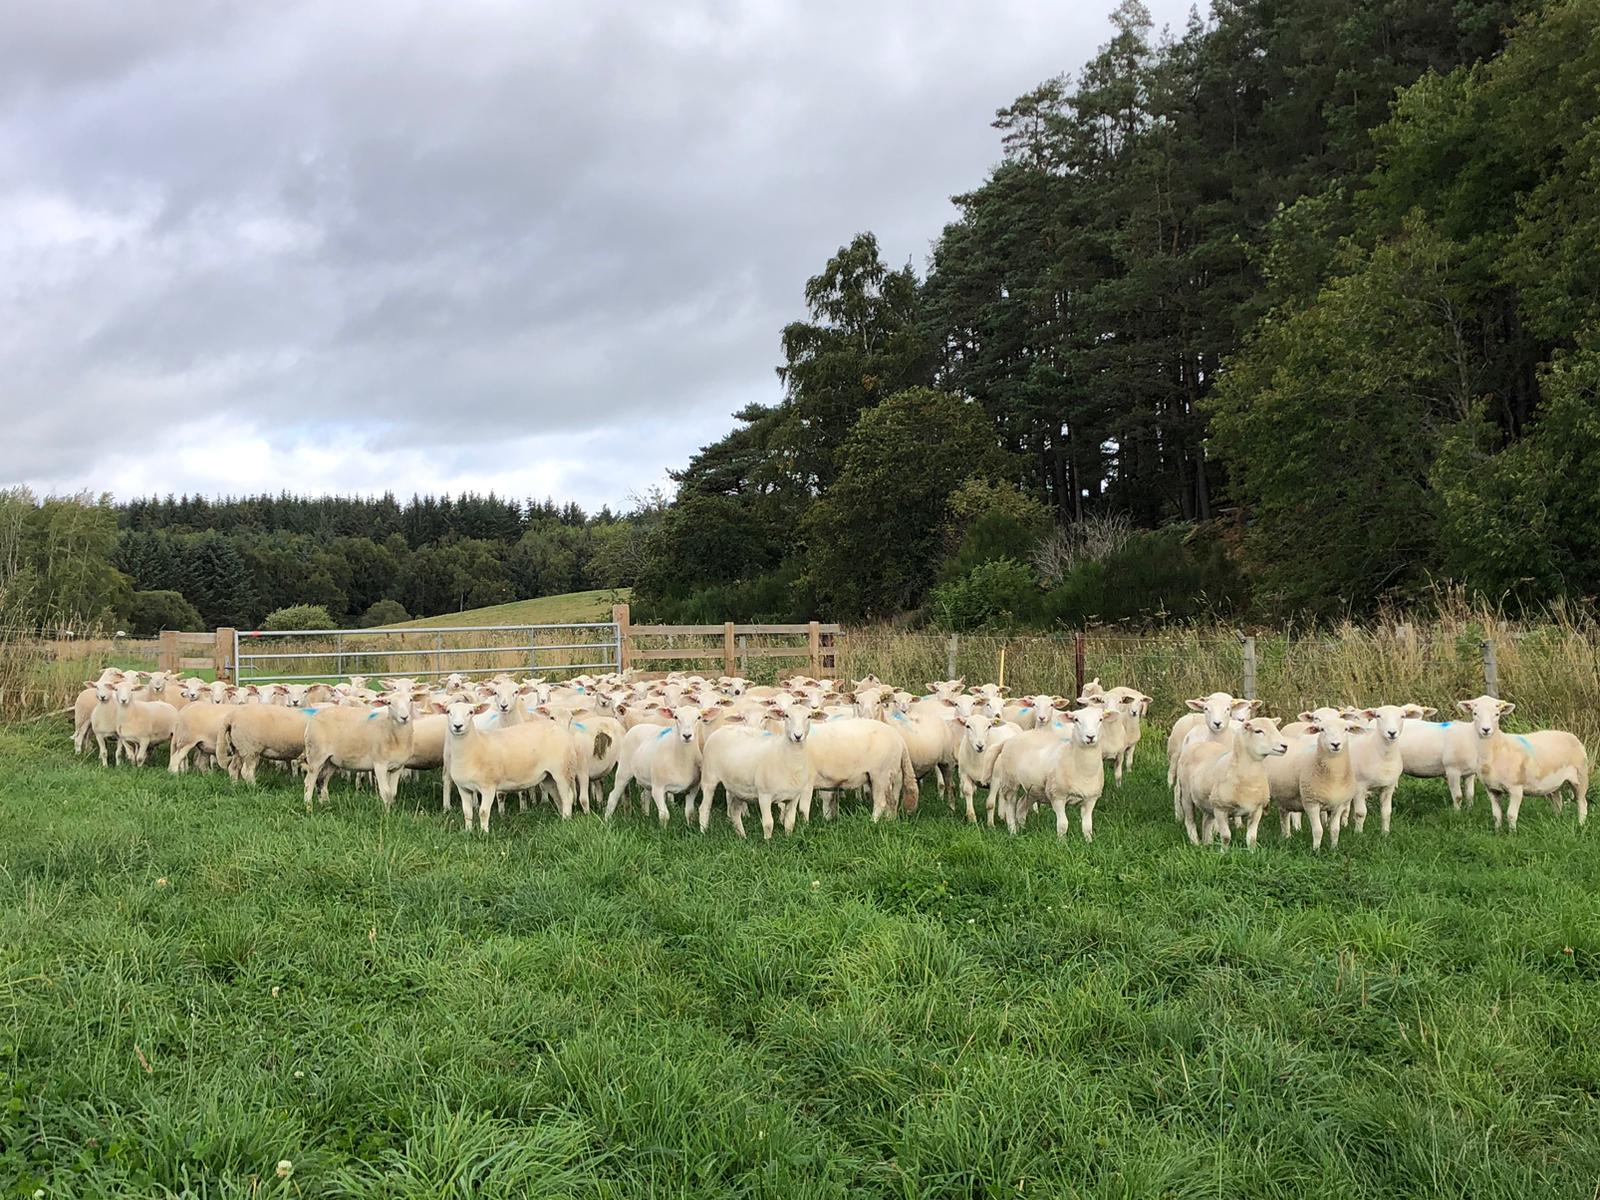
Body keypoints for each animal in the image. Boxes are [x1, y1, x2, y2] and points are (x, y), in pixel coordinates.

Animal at [698, 705, 817, 839]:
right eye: (786, 715)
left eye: (809, 716)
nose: (797, 736)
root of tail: (721, 729)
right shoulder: (764, 795)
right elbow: (768, 823)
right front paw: (767, 841)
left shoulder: (794, 797)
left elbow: (790, 822)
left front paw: (788, 838)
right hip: (709, 778)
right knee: (704, 808)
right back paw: (703, 833)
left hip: (737, 786)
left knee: (735, 811)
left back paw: (742, 837)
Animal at [988, 703, 1107, 840]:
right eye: (1076, 720)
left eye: (1100, 719)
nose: (1090, 737)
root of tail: (1010, 739)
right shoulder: (1057, 796)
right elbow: (1063, 825)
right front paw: (1062, 842)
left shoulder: (1091, 799)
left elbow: (1088, 826)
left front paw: (1088, 841)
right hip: (1010, 780)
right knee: (1010, 804)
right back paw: (1013, 831)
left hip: (1033, 788)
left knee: (1021, 805)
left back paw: (1023, 830)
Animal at [1177, 717, 1289, 848]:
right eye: (1258, 731)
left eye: (1275, 728)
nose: (1284, 746)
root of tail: (1199, 744)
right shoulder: (1220, 809)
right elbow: (1226, 836)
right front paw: (1223, 851)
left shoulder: (1257, 810)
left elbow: (1251, 838)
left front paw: (1252, 851)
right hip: (1186, 794)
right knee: (1190, 821)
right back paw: (1195, 843)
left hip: (1207, 800)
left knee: (1206, 821)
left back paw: (1207, 844)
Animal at [1457, 694, 1588, 833]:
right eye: (1475, 713)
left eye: (1497, 714)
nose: (1486, 730)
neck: (1497, 748)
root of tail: (1572, 736)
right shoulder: (1492, 789)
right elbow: (1496, 815)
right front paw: (1497, 832)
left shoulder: (1516, 788)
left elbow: (1511, 815)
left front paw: (1512, 833)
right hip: (1553, 782)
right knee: (1558, 801)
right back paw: (1557, 821)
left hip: (1580, 776)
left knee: (1582, 802)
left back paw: (1581, 825)